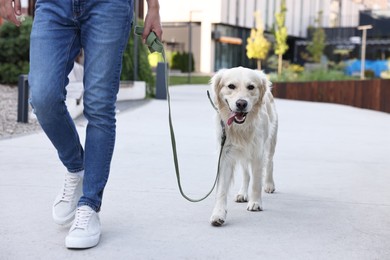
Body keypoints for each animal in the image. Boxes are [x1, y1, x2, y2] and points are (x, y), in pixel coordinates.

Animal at [210, 66, 278, 225]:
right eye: (231, 86)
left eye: (251, 87)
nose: (241, 103)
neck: (241, 128)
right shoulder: (225, 154)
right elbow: (222, 189)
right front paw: (218, 213)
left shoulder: (258, 153)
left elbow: (256, 182)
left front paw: (255, 202)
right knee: (246, 173)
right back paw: (242, 193)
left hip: (271, 141)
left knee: (270, 162)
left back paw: (269, 184)